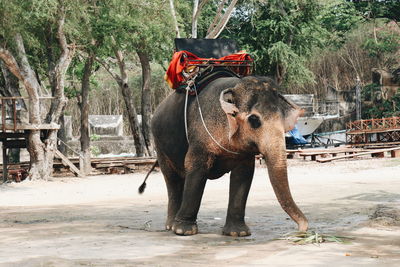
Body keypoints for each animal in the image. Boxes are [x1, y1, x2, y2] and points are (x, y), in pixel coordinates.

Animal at [148, 75, 308, 237]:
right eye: (254, 120)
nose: (301, 230)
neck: (235, 86)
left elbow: (243, 174)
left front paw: (238, 233)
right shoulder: (199, 136)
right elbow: (196, 167)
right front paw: (184, 231)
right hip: (159, 145)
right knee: (172, 179)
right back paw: (171, 226)